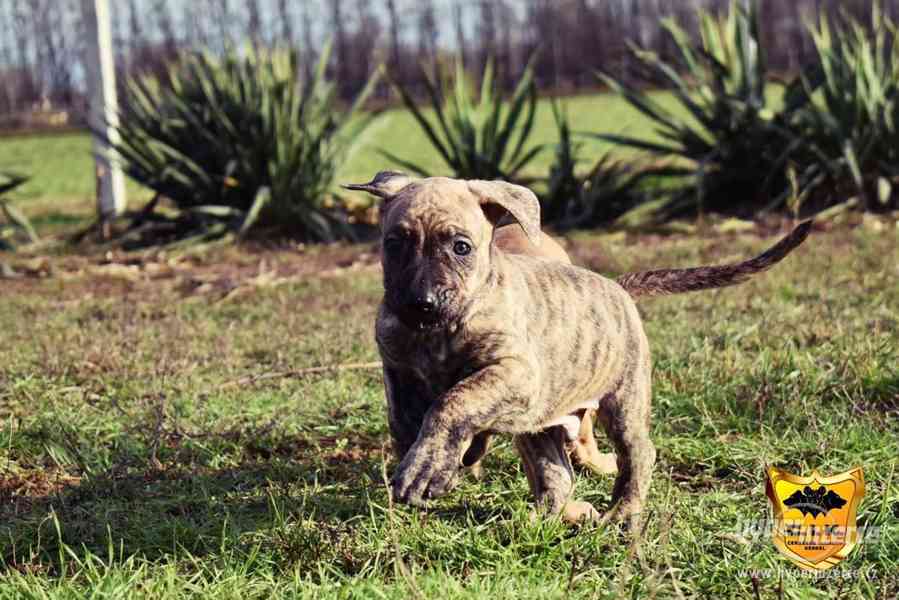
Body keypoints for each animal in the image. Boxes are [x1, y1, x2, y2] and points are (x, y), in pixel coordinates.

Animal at [342, 172, 808, 524]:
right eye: (394, 243)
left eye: (461, 247)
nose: (420, 303)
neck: (438, 331)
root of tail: (618, 288)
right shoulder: (398, 371)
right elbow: (408, 420)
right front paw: (435, 461)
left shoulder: (516, 373)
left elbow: (453, 401)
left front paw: (426, 468)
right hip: (541, 427)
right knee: (557, 478)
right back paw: (549, 517)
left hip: (623, 400)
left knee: (639, 454)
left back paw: (621, 513)